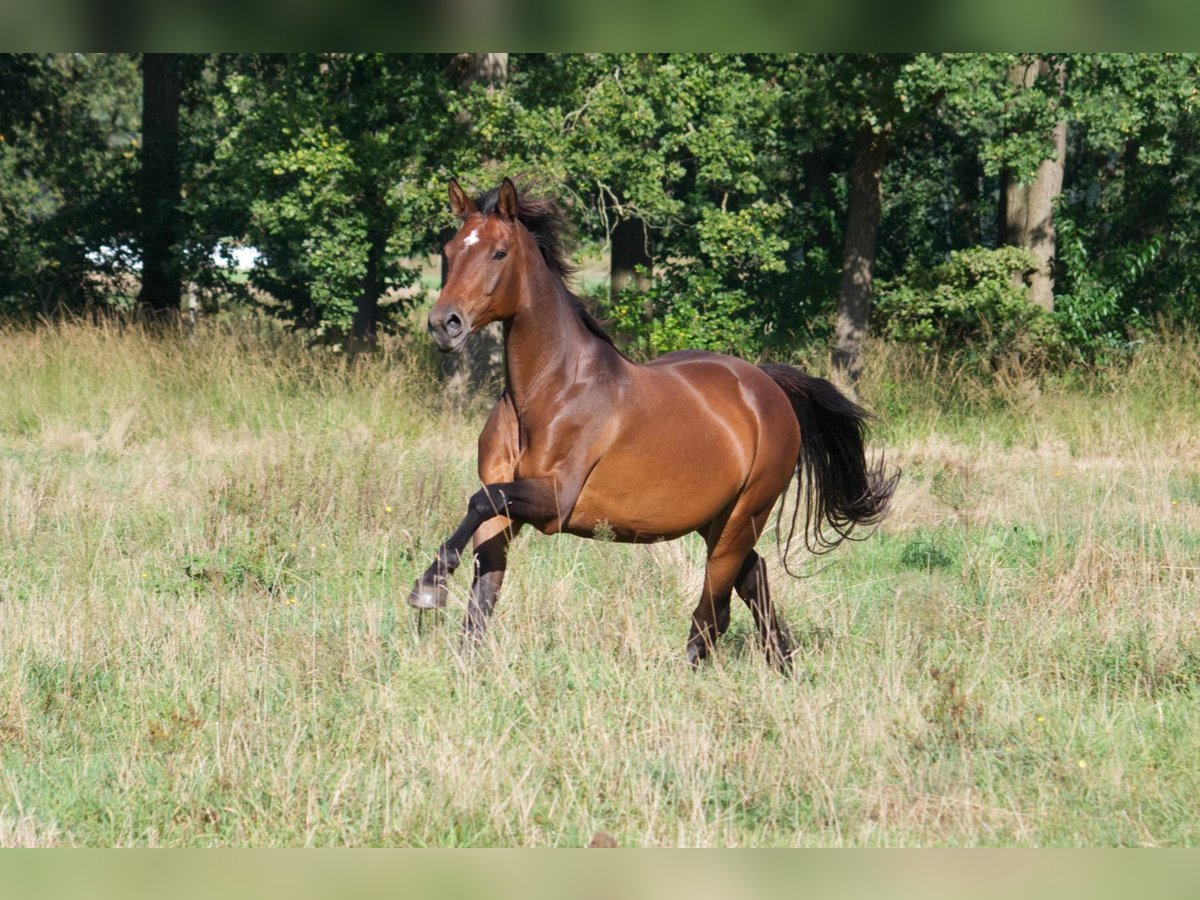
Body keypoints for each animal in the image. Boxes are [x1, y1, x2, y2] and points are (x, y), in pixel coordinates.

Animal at [408, 177, 897, 672]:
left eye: (499, 252)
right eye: (450, 249)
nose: (444, 324)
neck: (548, 390)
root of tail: (767, 387)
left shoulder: (555, 500)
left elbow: (481, 502)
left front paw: (427, 587)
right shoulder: (506, 511)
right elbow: (482, 593)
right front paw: (463, 659)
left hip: (744, 518)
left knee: (715, 608)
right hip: (716, 520)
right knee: (752, 579)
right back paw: (783, 667)